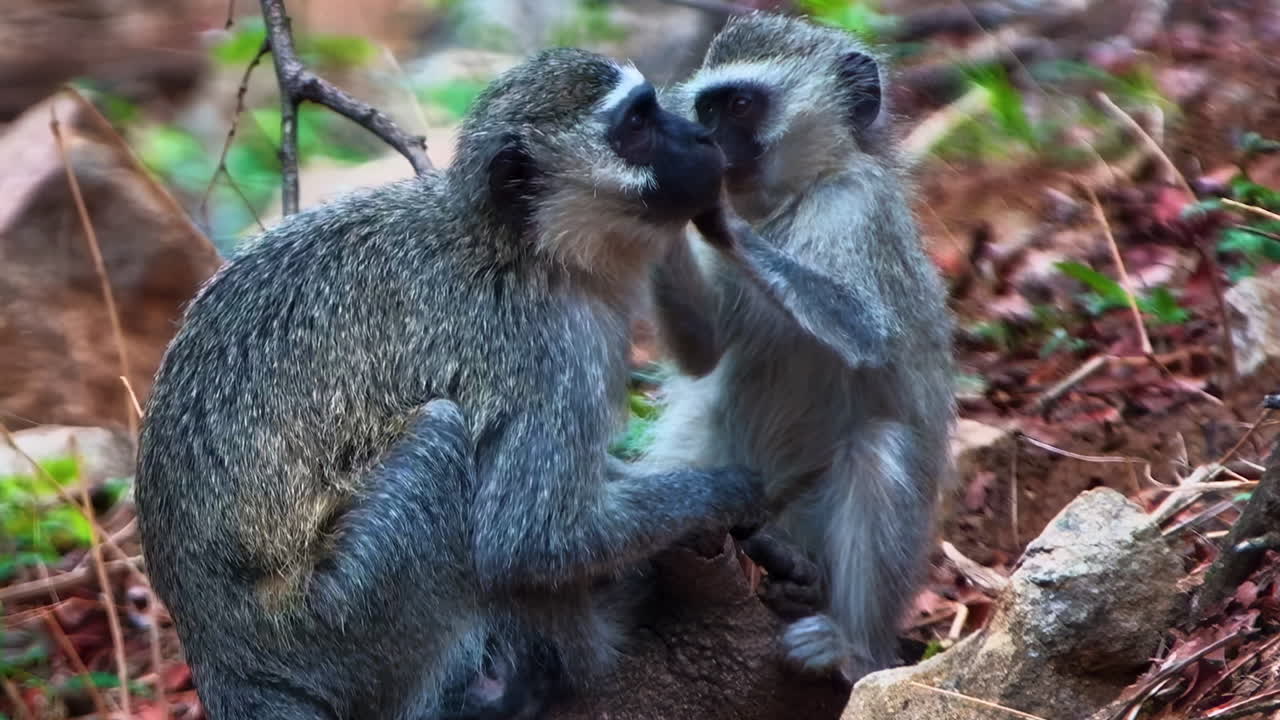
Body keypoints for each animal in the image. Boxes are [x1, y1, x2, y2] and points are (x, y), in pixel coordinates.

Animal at [134, 47, 766, 720]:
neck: (522, 247)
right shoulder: (548, 351)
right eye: (639, 125)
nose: (700, 138)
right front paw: (731, 490)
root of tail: (219, 658)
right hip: (335, 625)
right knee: (442, 445)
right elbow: (530, 541)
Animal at [642, 13, 956, 685]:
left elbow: (868, 336)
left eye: (740, 105)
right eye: (707, 109)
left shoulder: (858, 209)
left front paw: (715, 211)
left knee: (877, 450)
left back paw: (848, 642)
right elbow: (703, 354)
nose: (709, 141)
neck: (794, 201)